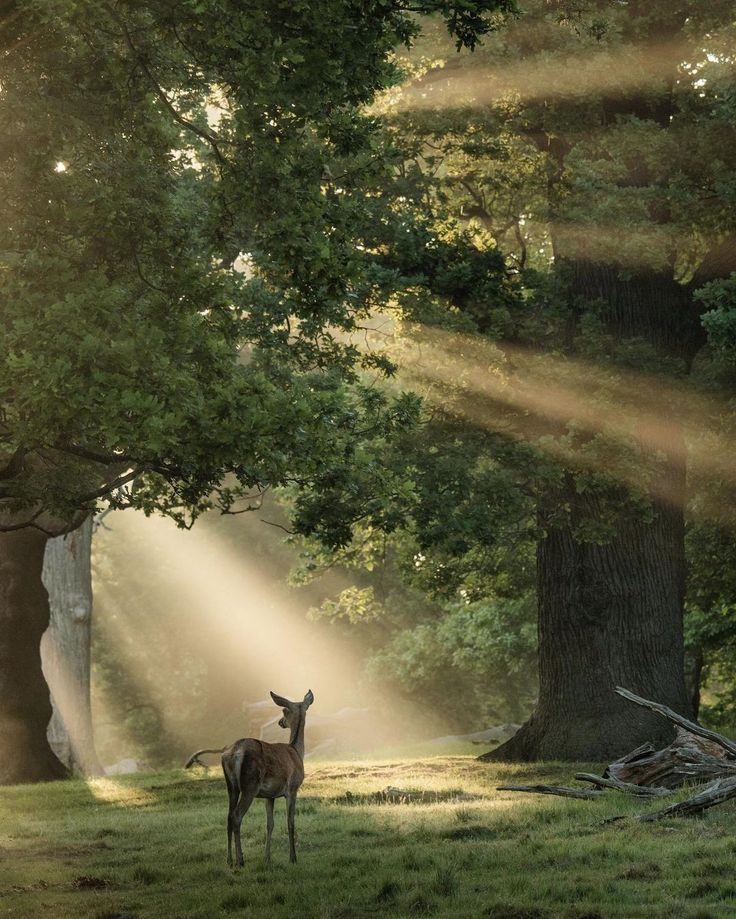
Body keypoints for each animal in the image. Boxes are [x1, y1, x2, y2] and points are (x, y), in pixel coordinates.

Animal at [185, 688, 312, 868]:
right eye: (284, 710)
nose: (281, 722)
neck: (296, 752)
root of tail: (233, 752)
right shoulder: (292, 788)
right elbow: (290, 822)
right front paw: (293, 858)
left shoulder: (270, 795)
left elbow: (270, 824)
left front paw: (267, 858)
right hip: (250, 784)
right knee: (237, 815)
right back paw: (240, 860)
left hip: (231, 786)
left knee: (229, 816)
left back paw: (229, 859)